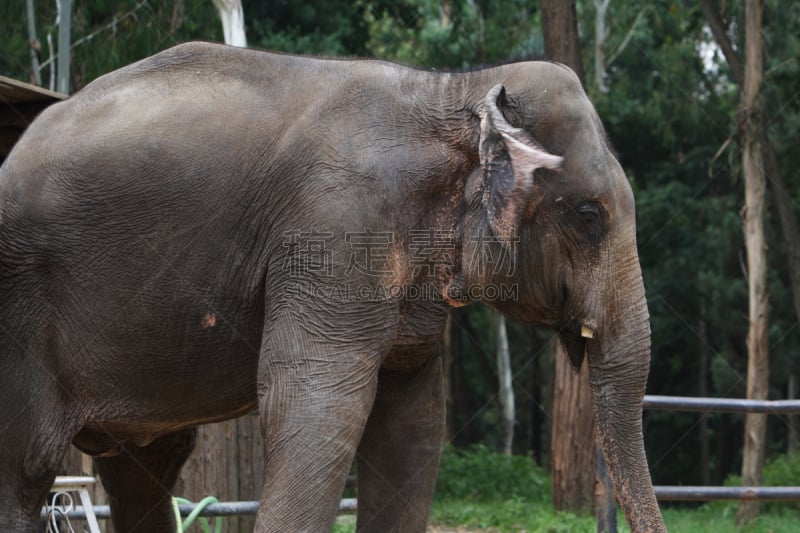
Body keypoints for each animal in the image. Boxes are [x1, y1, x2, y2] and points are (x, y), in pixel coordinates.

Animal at [0, 42, 664, 532]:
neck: (453, 93)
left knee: (145, 468)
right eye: (590, 216)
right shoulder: (334, 231)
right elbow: (320, 404)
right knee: (25, 470)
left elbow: (413, 424)